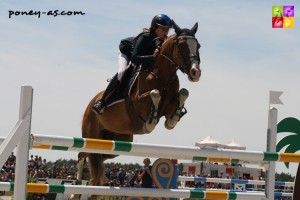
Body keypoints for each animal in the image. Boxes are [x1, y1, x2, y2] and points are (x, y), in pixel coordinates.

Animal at [70, 20, 202, 200]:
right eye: (181, 45)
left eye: (198, 46)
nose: (196, 73)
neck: (161, 74)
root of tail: (90, 104)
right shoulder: (138, 104)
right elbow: (155, 94)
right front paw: (151, 121)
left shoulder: (170, 106)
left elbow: (182, 96)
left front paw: (174, 116)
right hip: (91, 135)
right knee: (82, 156)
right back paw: (75, 191)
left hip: (118, 142)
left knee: (99, 160)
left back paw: (94, 186)